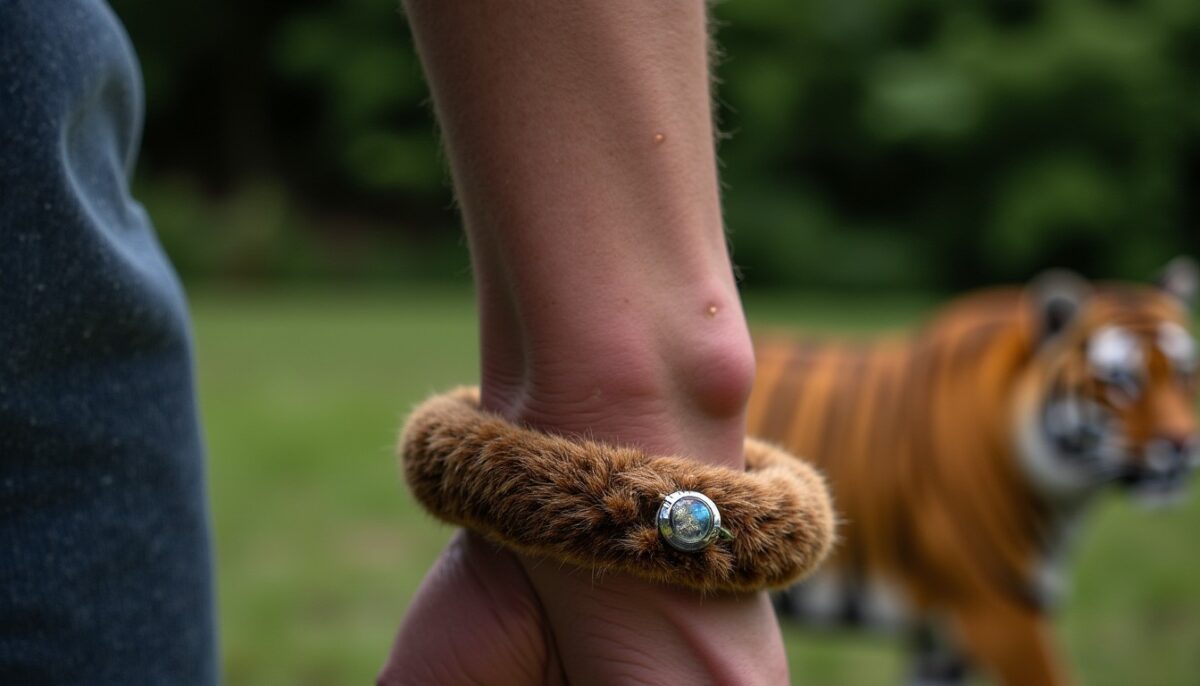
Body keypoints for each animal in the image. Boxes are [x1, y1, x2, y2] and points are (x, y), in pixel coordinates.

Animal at [747, 258, 1199, 686]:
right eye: (1120, 380)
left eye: (1184, 373)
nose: (1182, 445)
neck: (1069, 493)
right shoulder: (1000, 613)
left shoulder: (939, 643)